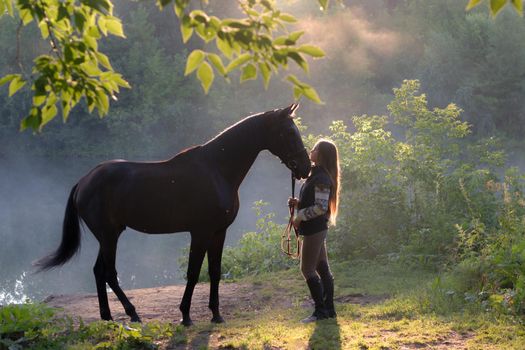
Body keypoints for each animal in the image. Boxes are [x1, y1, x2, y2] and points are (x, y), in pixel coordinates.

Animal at [34, 104, 310, 326]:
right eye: (288, 133)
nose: (306, 168)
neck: (217, 170)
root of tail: (83, 181)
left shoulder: (218, 232)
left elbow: (215, 271)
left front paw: (216, 314)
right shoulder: (200, 233)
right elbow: (193, 273)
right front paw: (186, 316)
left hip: (108, 236)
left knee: (98, 271)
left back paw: (108, 317)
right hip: (109, 236)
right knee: (109, 273)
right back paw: (132, 313)